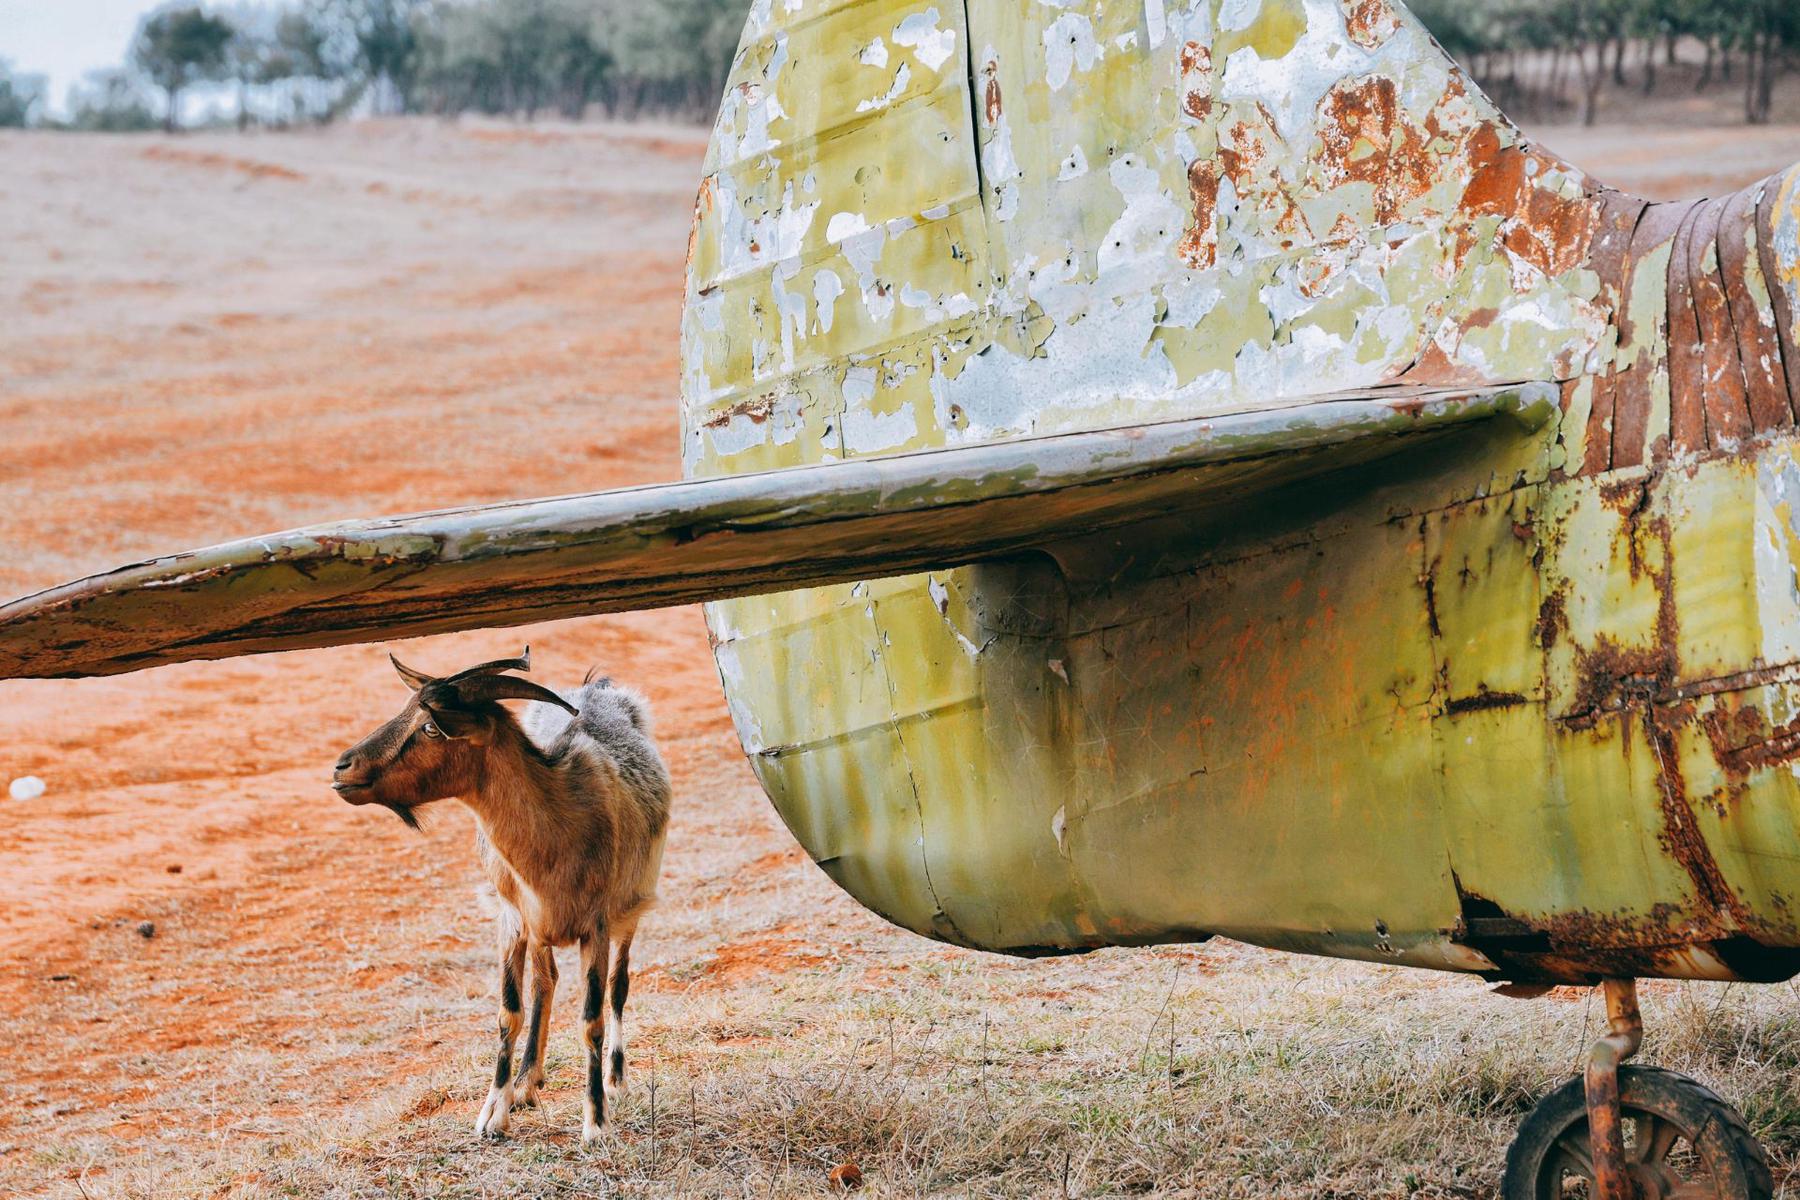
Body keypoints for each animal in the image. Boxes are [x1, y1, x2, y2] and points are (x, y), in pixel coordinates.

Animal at [331, 647, 669, 1144]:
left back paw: (615, 1078)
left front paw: (595, 1123)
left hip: (633, 906)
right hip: (540, 931)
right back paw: (527, 1083)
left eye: (431, 726)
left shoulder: (597, 925)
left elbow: (592, 1018)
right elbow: (509, 1011)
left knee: (618, 987)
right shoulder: (512, 918)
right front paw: (494, 1113)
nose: (342, 767)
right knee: (545, 983)